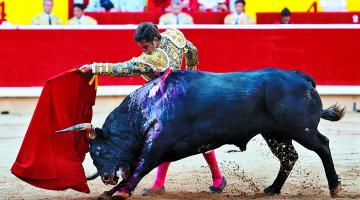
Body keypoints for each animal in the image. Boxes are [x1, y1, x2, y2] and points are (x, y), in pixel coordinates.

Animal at [60, 69, 344, 198]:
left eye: (97, 149)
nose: (106, 177)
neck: (145, 107)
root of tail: (302, 77)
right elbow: (143, 167)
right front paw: (112, 191)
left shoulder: (157, 143)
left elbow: (141, 167)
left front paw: (119, 191)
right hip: (276, 133)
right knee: (288, 158)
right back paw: (272, 189)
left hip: (300, 129)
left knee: (323, 145)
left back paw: (334, 186)